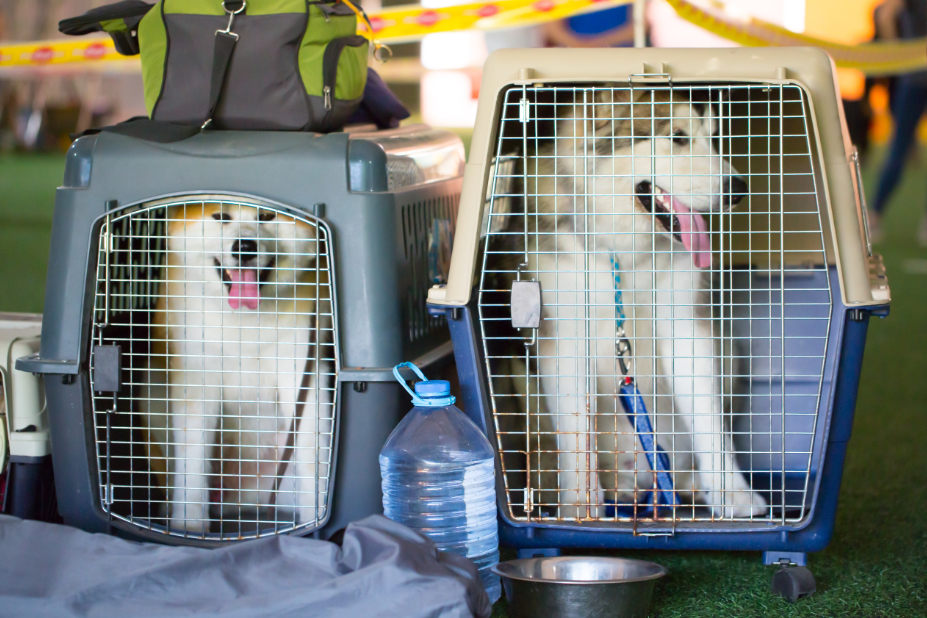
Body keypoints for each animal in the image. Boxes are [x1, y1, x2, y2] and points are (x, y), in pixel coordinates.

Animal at [508, 89, 768, 516]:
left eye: (713, 138)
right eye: (677, 137)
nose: (738, 189)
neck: (625, 252)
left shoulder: (686, 324)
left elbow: (708, 418)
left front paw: (733, 494)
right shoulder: (563, 336)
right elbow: (577, 426)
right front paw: (581, 505)